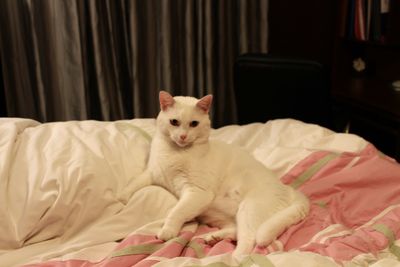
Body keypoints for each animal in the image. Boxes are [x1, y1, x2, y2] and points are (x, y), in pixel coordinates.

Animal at [125, 91, 310, 258]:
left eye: (194, 123)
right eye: (174, 122)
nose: (183, 136)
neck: (175, 153)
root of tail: (289, 190)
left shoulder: (197, 192)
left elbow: (176, 211)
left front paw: (167, 230)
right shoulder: (152, 174)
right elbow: (133, 184)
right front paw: (123, 200)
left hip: (249, 209)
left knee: (248, 240)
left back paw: (232, 258)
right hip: (218, 216)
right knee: (236, 231)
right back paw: (214, 237)